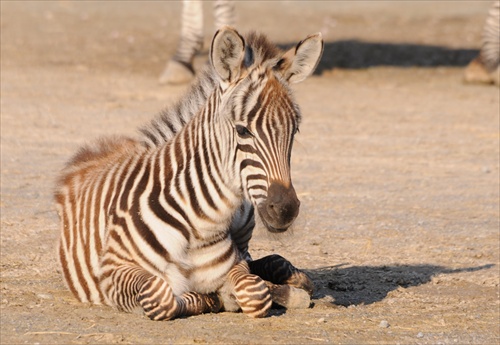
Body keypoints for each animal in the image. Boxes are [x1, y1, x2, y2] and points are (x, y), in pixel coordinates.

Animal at [54, 26, 324, 320]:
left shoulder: (233, 266)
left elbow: (255, 292)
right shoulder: (113, 269)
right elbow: (161, 296)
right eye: (242, 130)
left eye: (294, 131)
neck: (200, 223)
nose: (285, 209)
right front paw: (208, 299)